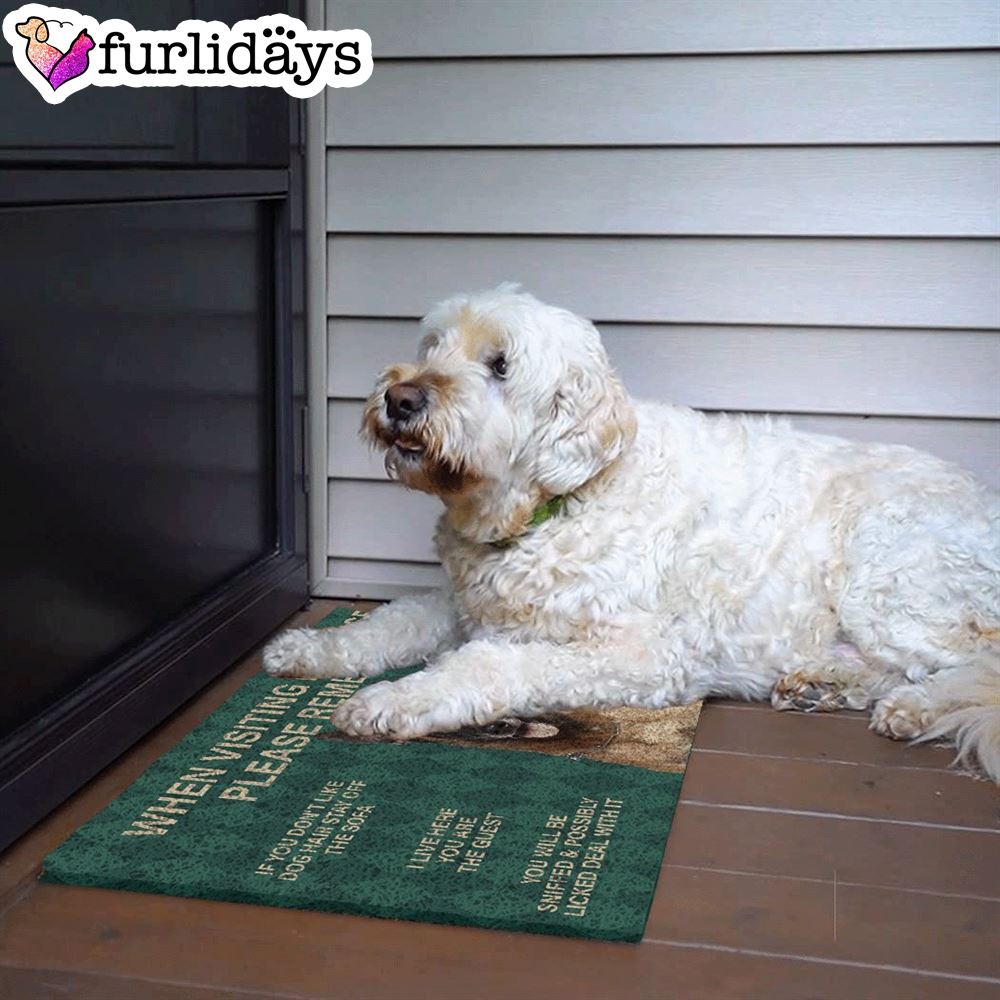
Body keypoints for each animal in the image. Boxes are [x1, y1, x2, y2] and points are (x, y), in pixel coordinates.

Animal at [266, 284, 1000, 780]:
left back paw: (916, 708)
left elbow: (490, 663)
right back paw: (825, 683)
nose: (400, 398)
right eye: (433, 346)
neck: (556, 505)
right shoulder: (467, 604)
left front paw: (391, 701)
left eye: (500, 364)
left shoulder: (643, 655)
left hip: (892, 578)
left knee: (973, 665)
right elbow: (394, 622)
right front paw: (309, 649)